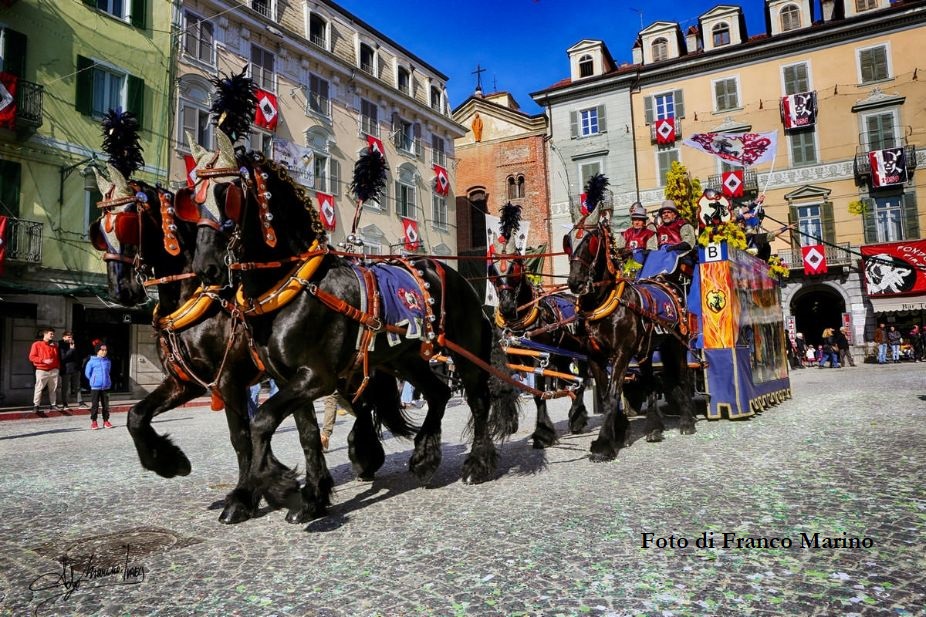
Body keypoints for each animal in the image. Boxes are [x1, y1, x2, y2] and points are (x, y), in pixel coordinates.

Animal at [188, 149, 520, 520]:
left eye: (227, 194)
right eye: (190, 196)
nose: (206, 268)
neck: (298, 286)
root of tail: (459, 279)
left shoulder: (317, 377)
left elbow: (261, 421)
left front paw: (276, 485)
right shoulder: (290, 379)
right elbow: (306, 434)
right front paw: (312, 497)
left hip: (464, 352)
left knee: (477, 401)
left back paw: (477, 463)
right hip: (406, 359)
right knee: (439, 393)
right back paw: (424, 456)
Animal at [564, 219, 696, 460]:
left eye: (591, 241)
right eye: (567, 243)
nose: (575, 281)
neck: (600, 304)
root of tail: (665, 282)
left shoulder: (621, 354)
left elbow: (613, 394)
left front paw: (604, 444)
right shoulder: (595, 357)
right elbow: (606, 395)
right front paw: (621, 432)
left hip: (676, 345)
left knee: (682, 378)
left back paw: (687, 420)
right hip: (647, 351)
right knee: (652, 382)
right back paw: (654, 427)